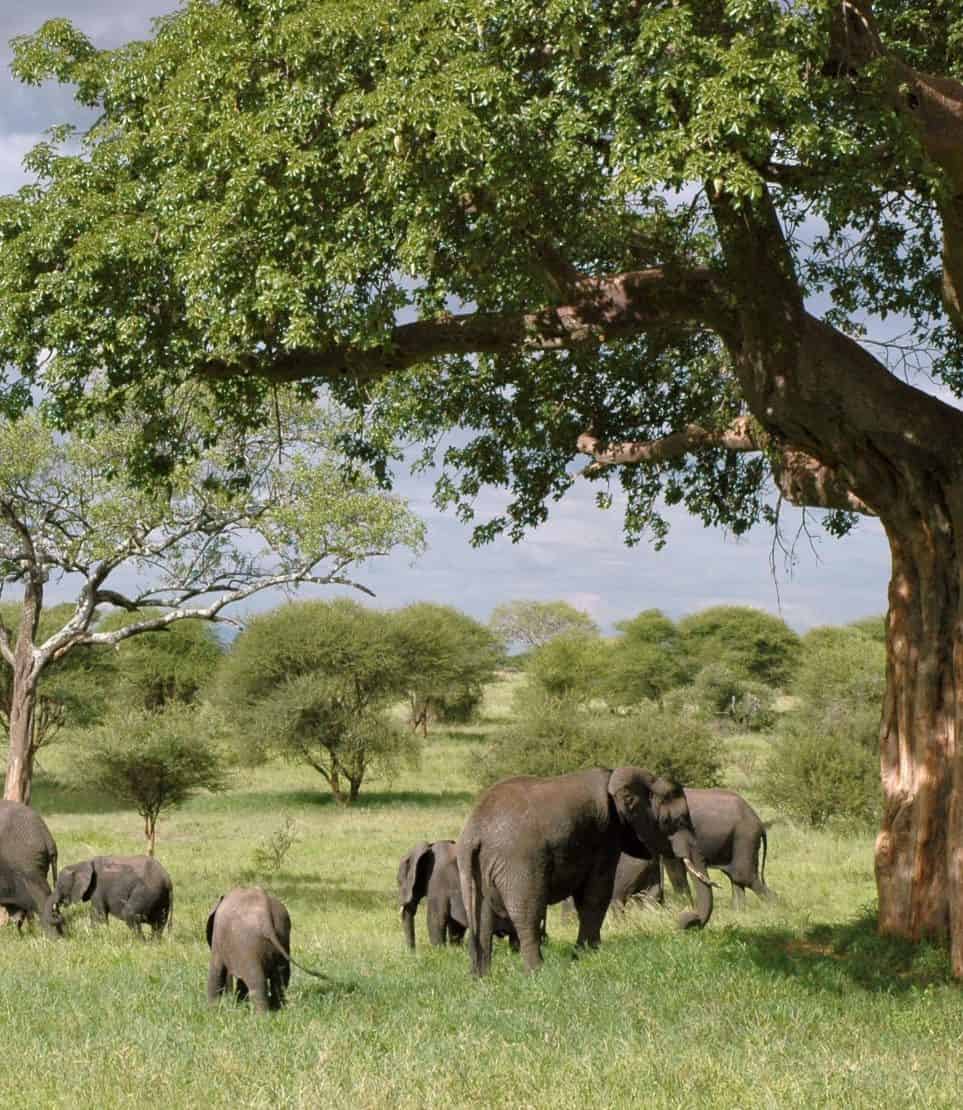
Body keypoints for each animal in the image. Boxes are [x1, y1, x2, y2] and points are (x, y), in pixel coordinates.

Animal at [397, 839, 526, 951]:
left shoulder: (437, 882)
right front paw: (455, 950)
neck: (429, 847)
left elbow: (435, 920)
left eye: (399, 882)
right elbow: (456, 925)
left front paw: (439, 951)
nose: (413, 952)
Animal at [456, 766, 715, 975]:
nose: (686, 921)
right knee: (527, 911)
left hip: (477, 867)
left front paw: (585, 954)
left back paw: (482, 977)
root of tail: (475, 832)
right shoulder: (605, 834)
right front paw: (587, 955)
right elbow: (597, 892)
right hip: (519, 863)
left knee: (483, 916)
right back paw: (538, 973)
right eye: (676, 821)